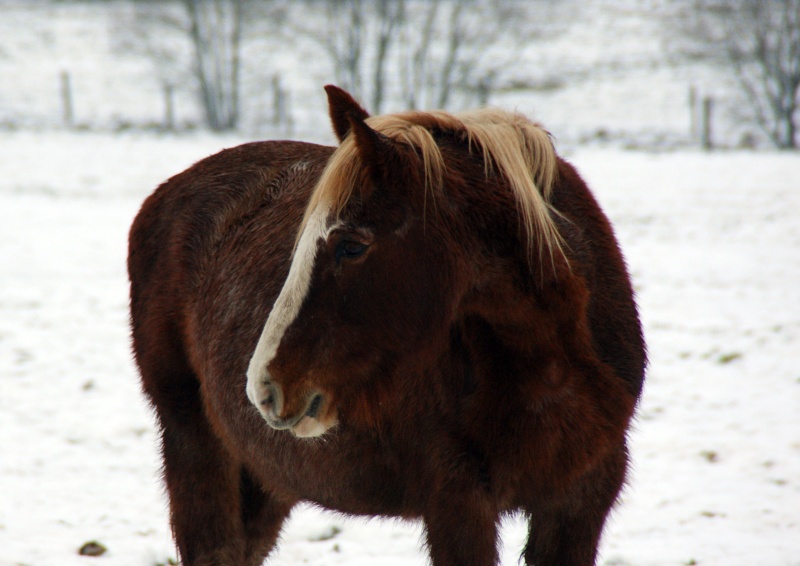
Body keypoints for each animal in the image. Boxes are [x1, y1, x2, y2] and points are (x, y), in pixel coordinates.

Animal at [128, 85, 648, 566]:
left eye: (352, 246)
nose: (264, 386)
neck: (549, 367)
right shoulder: (458, 504)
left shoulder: (581, 503)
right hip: (197, 451)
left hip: (267, 479)